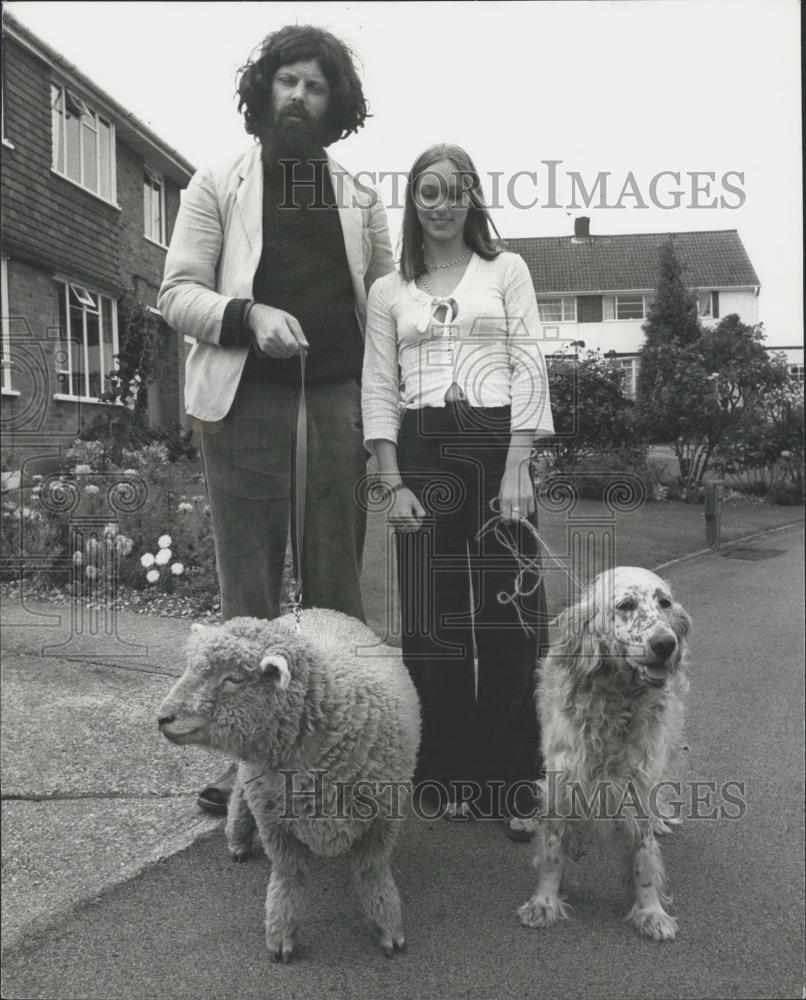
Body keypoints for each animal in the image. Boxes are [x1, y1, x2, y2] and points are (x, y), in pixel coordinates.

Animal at [159, 608, 422, 960]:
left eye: (234, 679)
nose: (163, 718)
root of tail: (313, 610)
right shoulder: (276, 825)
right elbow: (289, 878)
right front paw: (281, 935)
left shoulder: (382, 821)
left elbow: (372, 871)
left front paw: (387, 925)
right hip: (253, 774)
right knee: (240, 790)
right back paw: (238, 838)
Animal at [520, 568, 692, 940]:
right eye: (625, 605)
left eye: (664, 602)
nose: (665, 643)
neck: (616, 703)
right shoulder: (562, 781)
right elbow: (552, 851)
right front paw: (543, 903)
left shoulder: (638, 783)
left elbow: (644, 858)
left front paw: (651, 910)